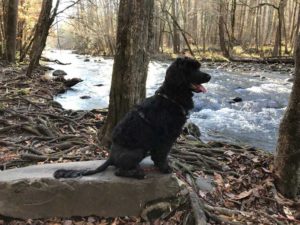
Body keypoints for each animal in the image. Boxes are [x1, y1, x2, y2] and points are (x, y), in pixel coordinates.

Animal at [54, 57, 210, 179]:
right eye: (191, 69)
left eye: (198, 67)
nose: (209, 76)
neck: (171, 97)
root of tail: (111, 157)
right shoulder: (166, 137)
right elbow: (162, 155)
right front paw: (165, 168)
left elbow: (158, 155)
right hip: (138, 150)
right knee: (119, 171)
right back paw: (137, 173)